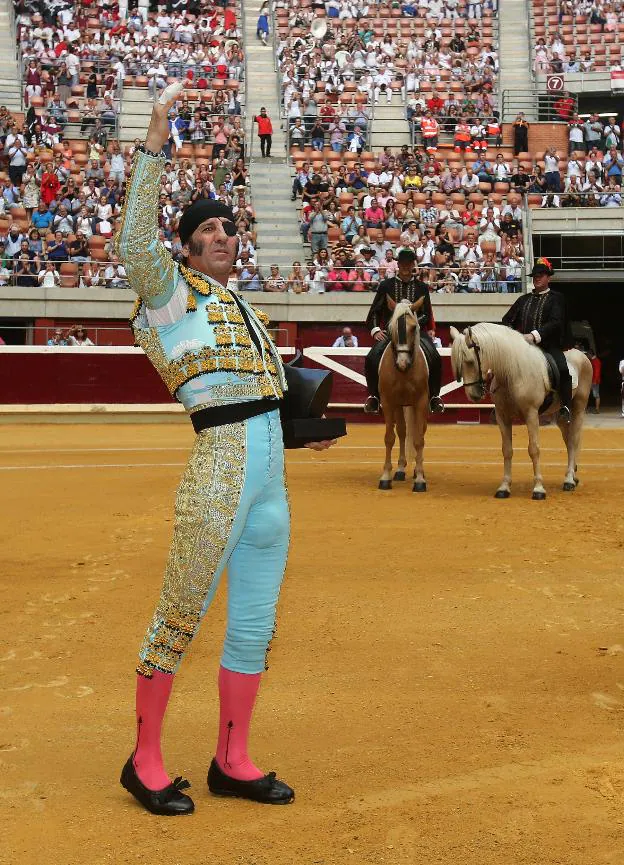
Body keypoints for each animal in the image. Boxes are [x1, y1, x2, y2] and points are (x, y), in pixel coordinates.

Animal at [378, 296, 432, 490]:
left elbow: (418, 439)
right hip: (399, 405)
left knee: (420, 431)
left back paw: (416, 470)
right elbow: (389, 437)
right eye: (390, 328)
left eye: (414, 327)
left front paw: (420, 479)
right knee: (401, 431)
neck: (403, 373)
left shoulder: (421, 402)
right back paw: (400, 469)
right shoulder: (388, 402)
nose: (402, 363)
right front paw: (385, 476)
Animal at [450, 320, 592, 500]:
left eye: (469, 361)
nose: (472, 395)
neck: (512, 372)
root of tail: (582, 355)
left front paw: (538, 489)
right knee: (568, 441)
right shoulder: (502, 416)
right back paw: (573, 474)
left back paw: (569, 480)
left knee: (573, 440)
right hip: (559, 415)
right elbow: (507, 450)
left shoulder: (531, 414)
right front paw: (504, 487)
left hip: (579, 407)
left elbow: (534, 449)